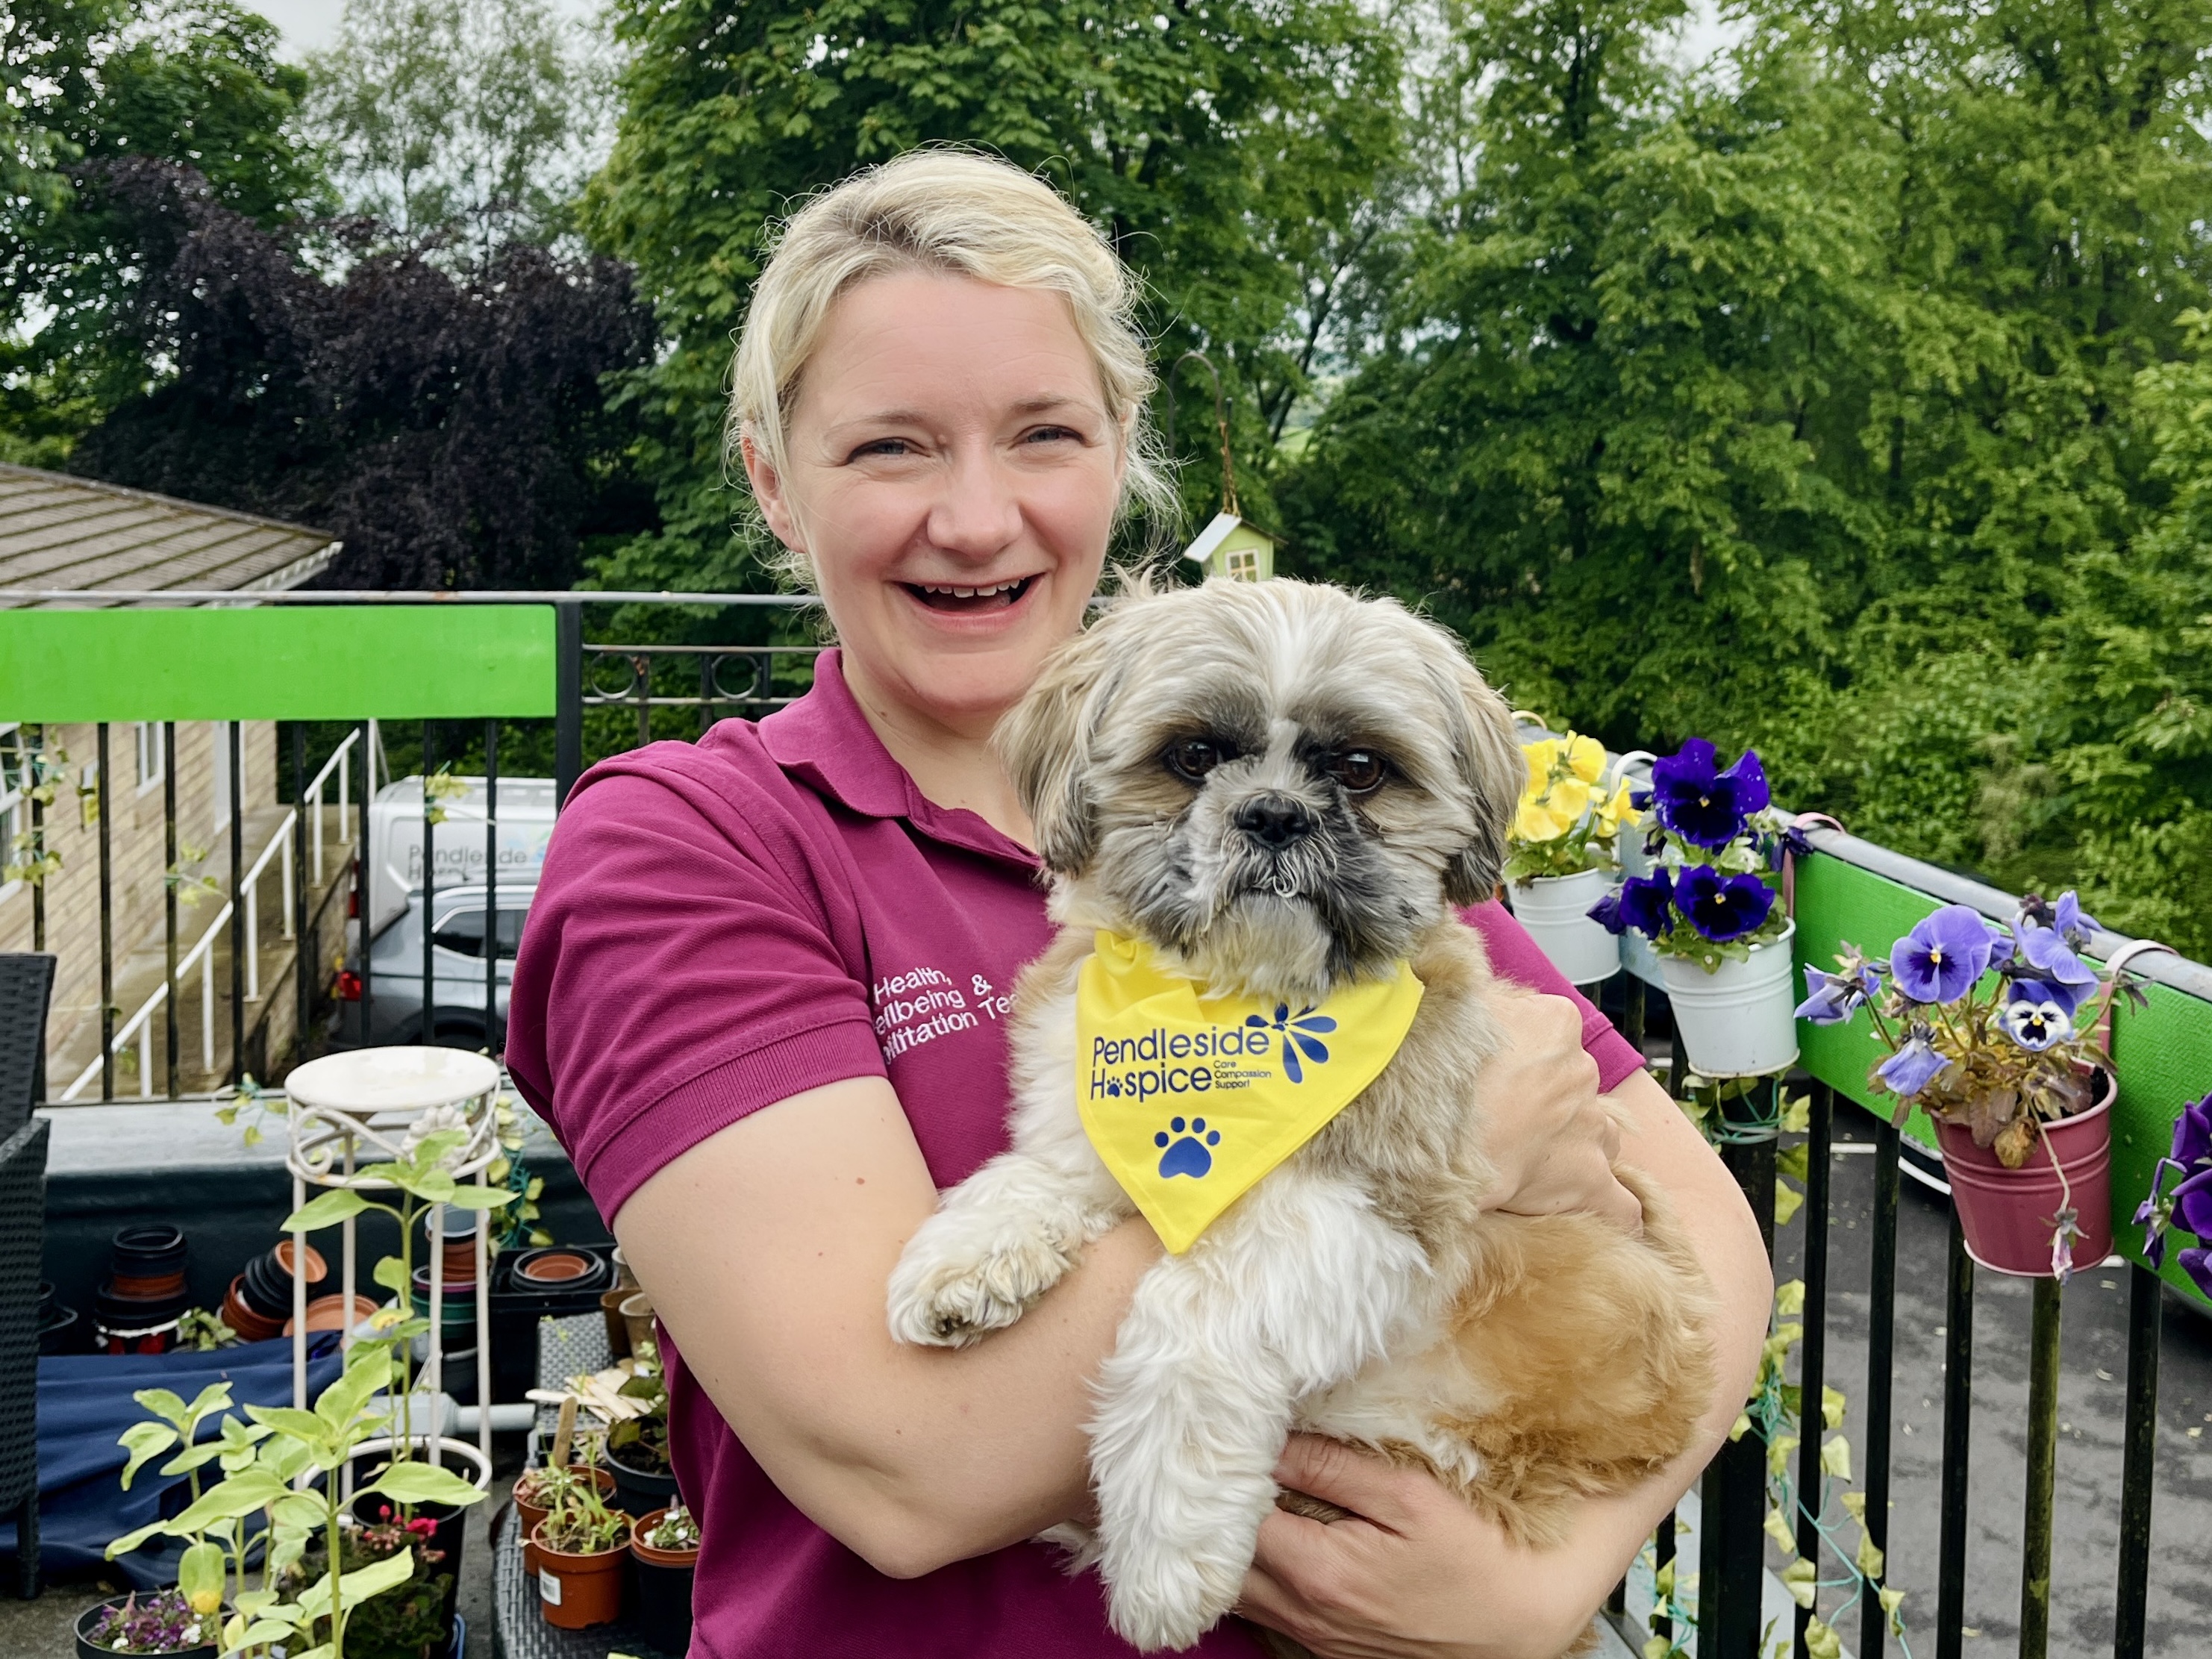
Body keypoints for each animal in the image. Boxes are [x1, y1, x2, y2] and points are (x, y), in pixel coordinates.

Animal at [880, 579, 1708, 1655]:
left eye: (1361, 768)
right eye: (1193, 755)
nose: (1272, 814)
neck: (1236, 1003)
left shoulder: (1382, 1201)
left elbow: (1196, 1307)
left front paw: (1165, 1555)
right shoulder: (1102, 1132)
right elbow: (1040, 1174)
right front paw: (967, 1254)